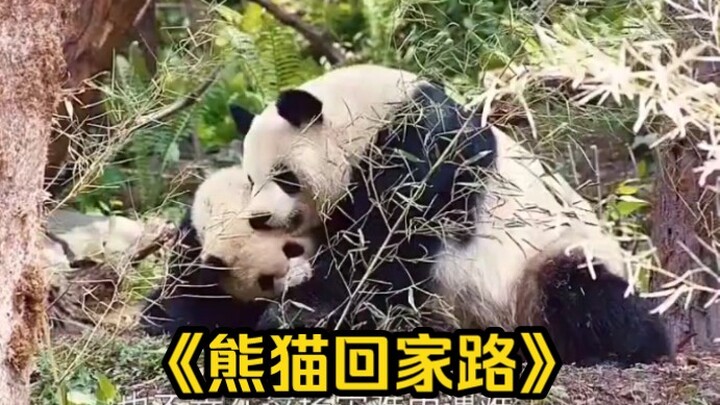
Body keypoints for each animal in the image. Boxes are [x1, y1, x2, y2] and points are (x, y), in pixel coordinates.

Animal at [229, 63, 673, 366]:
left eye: (285, 177)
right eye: (250, 179)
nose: (259, 217)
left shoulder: (422, 147)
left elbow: (386, 250)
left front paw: (304, 315)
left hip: (548, 259)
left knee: (584, 293)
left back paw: (626, 347)